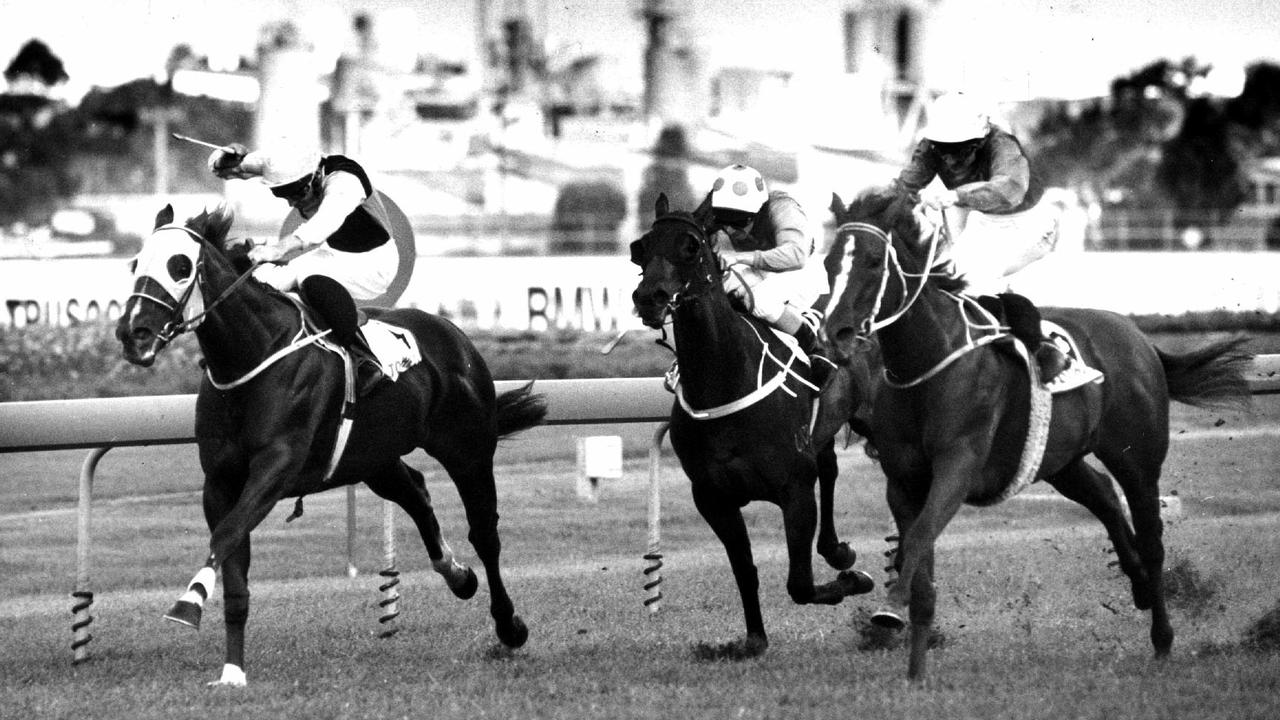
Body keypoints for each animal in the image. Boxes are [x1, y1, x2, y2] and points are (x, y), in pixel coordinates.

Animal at [113, 203, 545, 681]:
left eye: (181, 266)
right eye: (135, 264)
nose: (133, 333)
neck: (253, 358)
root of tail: (455, 336)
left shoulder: (276, 468)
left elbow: (226, 533)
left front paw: (188, 603)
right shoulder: (221, 481)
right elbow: (233, 562)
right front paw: (232, 672)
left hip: (468, 449)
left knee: (484, 533)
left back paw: (509, 626)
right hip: (374, 458)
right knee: (415, 492)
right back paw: (458, 575)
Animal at [632, 190, 880, 655]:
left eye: (691, 247)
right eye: (640, 247)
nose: (649, 297)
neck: (725, 379)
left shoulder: (794, 488)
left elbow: (800, 584)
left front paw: (854, 581)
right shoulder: (713, 498)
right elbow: (744, 571)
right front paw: (754, 640)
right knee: (829, 469)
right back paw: (837, 550)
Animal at [819, 184, 1249, 676]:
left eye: (874, 261)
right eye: (829, 262)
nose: (836, 333)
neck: (927, 364)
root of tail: (1138, 336)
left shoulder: (957, 467)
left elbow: (922, 535)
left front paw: (890, 606)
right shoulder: (904, 481)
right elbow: (920, 563)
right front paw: (915, 673)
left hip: (1137, 458)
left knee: (1152, 537)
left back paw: (1162, 637)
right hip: (1061, 459)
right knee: (1103, 496)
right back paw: (1137, 581)